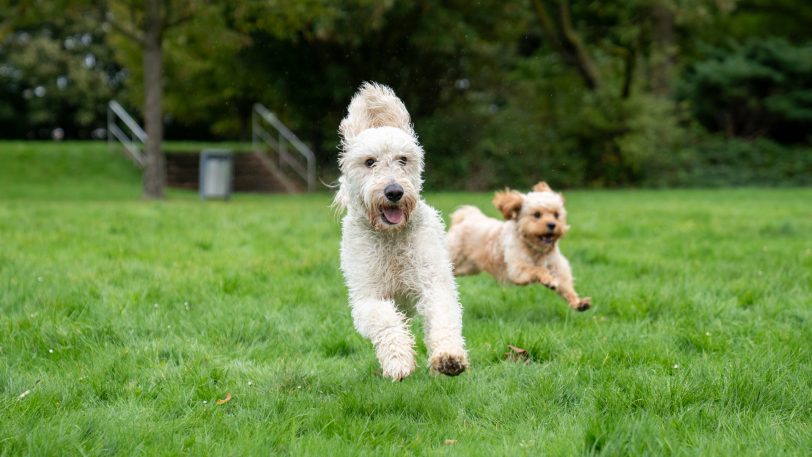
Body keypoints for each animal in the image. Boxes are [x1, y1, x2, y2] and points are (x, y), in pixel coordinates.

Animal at [334, 81, 466, 378]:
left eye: (403, 159)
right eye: (370, 162)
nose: (394, 191)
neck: (390, 237)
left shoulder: (433, 281)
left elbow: (443, 315)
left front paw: (448, 357)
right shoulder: (367, 297)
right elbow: (385, 321)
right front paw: (398, 360)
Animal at [450, 181, 588, 310]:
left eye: (556, 214)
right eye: (537, 214)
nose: (552, 224)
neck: (536, 249)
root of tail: (466, 218)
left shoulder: (557, 266)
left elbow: (565, 284)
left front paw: (578, 302)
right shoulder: (517, 268)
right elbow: (537, 269)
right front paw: (548, 279)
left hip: (468, 268)